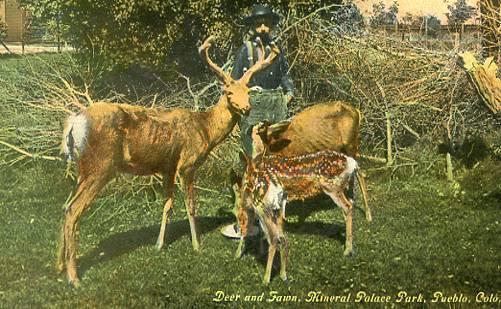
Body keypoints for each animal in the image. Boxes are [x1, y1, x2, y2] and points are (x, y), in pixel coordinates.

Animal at [56, 36, 280, 286]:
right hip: (100, 166)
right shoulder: (187, 165)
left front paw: (159, 244)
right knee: (73, 210)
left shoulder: (167, 168)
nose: (246, 108)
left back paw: (58, 266)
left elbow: (167, 206)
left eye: (248, 92)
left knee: (65, 205)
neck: (205, 130)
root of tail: (74, 123)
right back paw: (73, 277)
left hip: (82, 169)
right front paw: (196, 245)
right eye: (229, 93)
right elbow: (190, 206)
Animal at [240, 123, 358, 284]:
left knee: (348, 207)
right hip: (342, 187)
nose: (248, 127)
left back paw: (347, 250)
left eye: (260, 127)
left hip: (332, 187)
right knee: (350, 205)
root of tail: (353, 163)